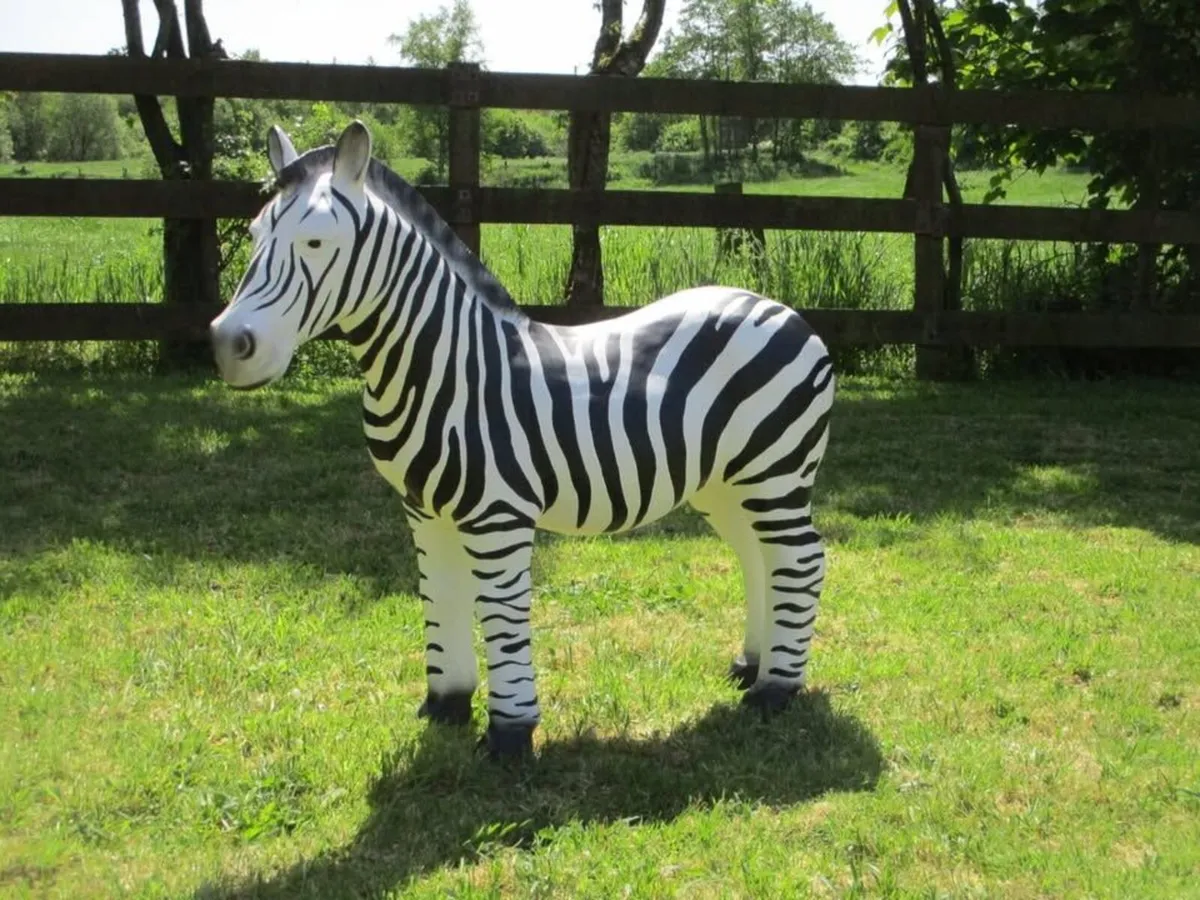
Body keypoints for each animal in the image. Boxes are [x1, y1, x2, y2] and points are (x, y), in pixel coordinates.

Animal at [210, 121, 836, 759]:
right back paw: (752, 666)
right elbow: (440, 599)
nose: (228, 346)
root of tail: (778, 309)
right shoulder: (423, 512)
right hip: (726, 482)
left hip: (776, 473)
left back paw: (776, 691)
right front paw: (446, 704)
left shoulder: (498, 517)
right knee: (759, 556)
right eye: (255, 234)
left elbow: (501, 616)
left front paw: (511, 734)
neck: (447, 368)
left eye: (314, 242)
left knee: (801, 560)